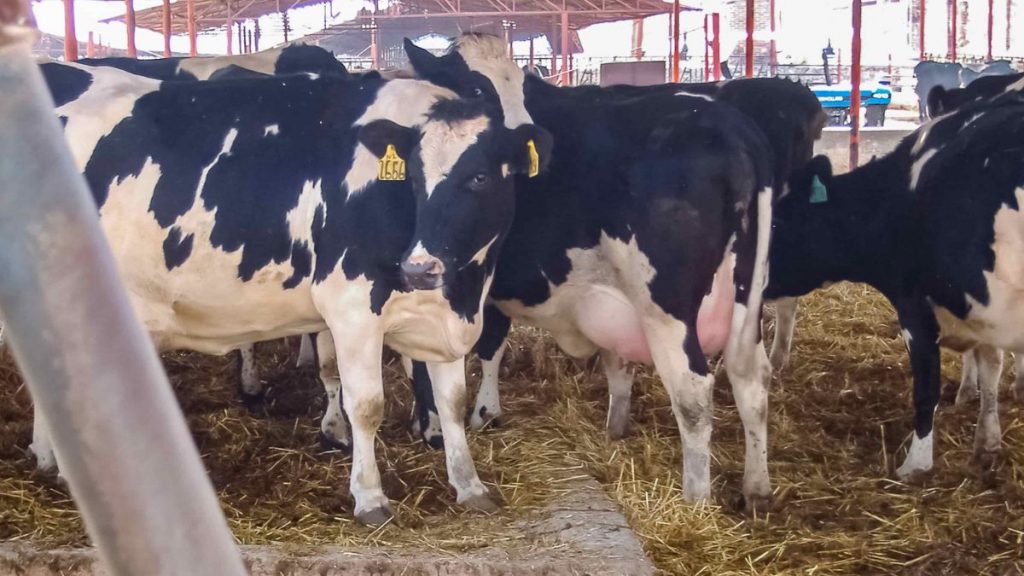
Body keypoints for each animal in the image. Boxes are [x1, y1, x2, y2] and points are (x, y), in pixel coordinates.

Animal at [34, 60, 552, 522]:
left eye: (479, 177)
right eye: (414, 178)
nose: (419, 266)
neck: (463, 291)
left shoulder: (442, 314)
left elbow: (452, 403)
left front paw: (470, 486)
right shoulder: (352, 309)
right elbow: (366, 406)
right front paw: (370, 498)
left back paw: (48, 460)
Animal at [770, 90, 1024, 475]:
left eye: (775, 223)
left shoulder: (916, 309)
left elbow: (927, 389)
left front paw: (915, 465)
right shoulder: (979, 308)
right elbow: (990, 367)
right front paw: (987, 441)